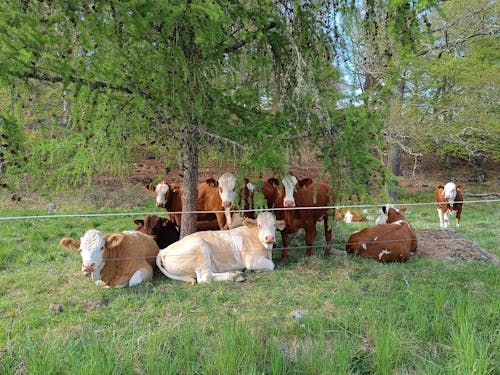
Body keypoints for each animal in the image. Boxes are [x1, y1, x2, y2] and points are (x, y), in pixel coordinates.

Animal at [156, 212, 286, 284]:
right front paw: (253, 270)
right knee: (205, 277)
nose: (269, 238)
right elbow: (271, 265)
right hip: (201, 248)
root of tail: (164, 250)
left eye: (274, 225)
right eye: (259, 225)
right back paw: (235, 276)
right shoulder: (252, 260)